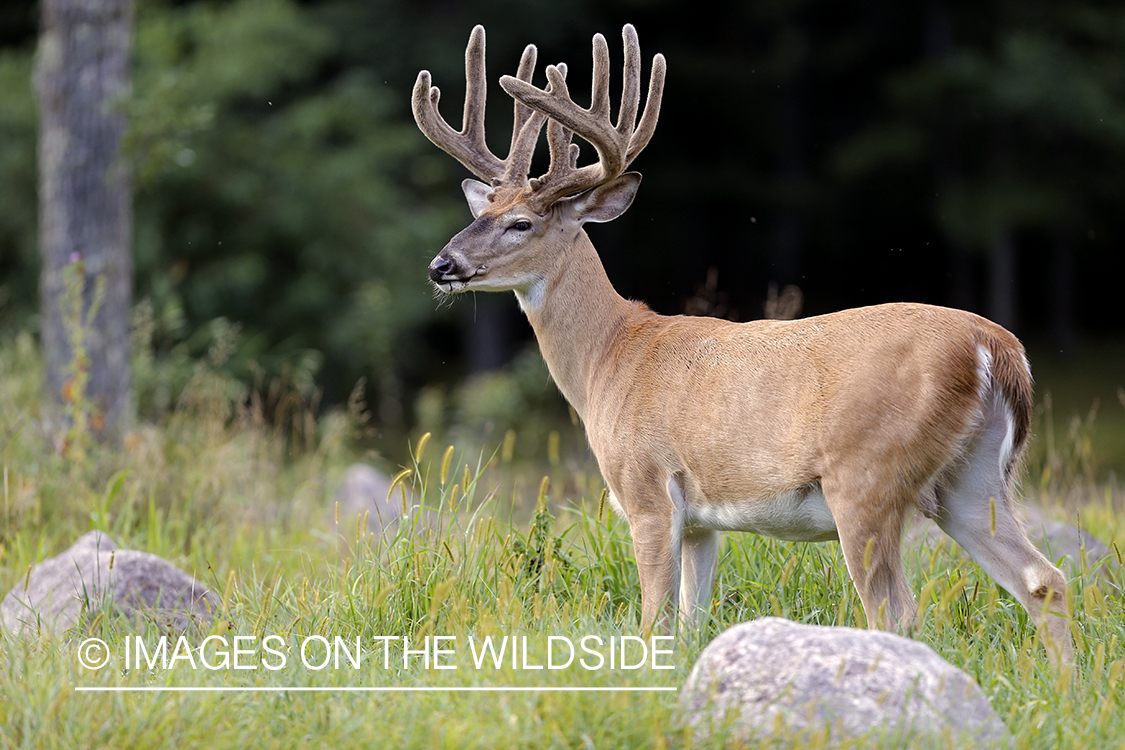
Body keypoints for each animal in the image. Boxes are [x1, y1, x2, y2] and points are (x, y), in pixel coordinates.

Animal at [411, 23, 1071, 670]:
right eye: (482, 210)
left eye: (521, 223)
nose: (441, 264)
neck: (610, 359)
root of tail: (996, 349)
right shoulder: (703, 520)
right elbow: (689, 623)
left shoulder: (647, 490)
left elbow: (653, 623)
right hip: (971, 480)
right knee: (1044, 579)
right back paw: (1065, 683)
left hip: (866, 477)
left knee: (898, 611)